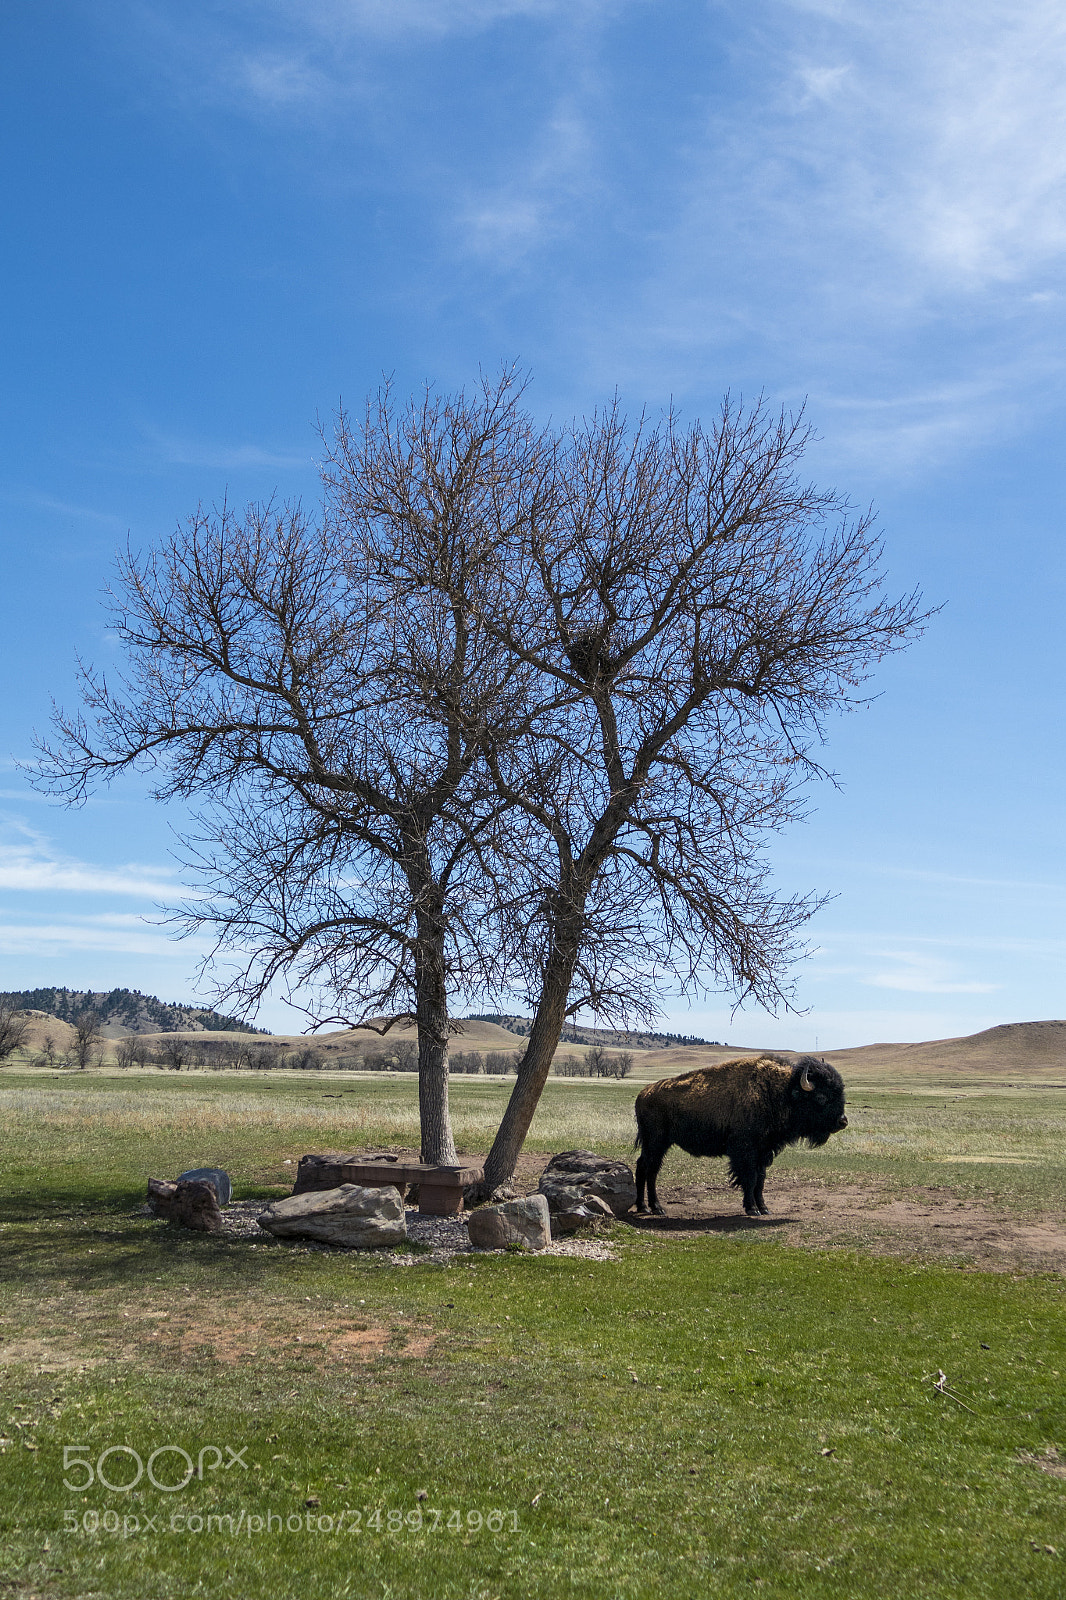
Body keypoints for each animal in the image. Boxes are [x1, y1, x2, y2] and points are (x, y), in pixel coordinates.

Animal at [634, 1053, 848, 1217]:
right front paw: (752, 1209)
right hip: (656, 1142)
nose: (842, 1121)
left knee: (644, 1167)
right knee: (650, 1169)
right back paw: (656, 1208)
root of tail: (643, 1094)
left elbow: (760, 1179)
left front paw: (764, 1208)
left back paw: (645, 1207)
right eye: (821, 1097)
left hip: (656, 1144)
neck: (780, 1092)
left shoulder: (764, 1151)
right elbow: (750, 1178)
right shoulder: (745, 1150)